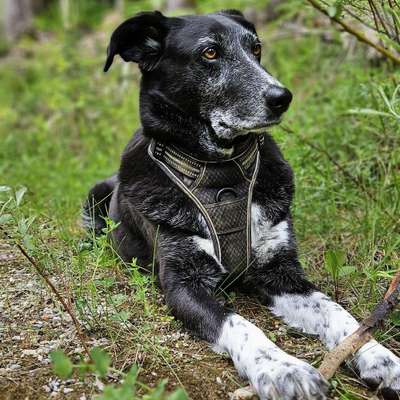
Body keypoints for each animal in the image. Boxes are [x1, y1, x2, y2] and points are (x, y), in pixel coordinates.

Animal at [84, 9, 400, 400]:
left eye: (256, 48)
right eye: (209, 53)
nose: (282, 97)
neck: (221, 176)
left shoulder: (282, 271)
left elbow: (338, 312)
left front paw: (380, 358)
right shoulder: (184, 284)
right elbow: (239, 323)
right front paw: (284, 369)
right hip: (96, 195)